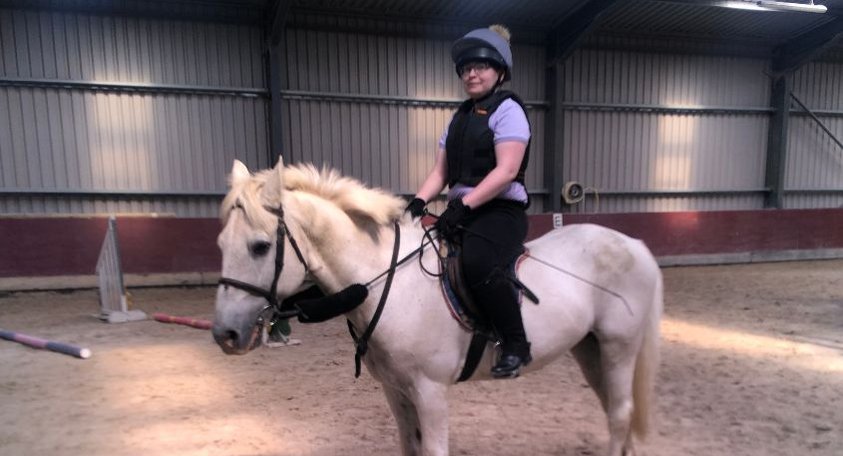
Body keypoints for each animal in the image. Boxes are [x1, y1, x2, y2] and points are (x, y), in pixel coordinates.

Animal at [214, 159, 664, 456]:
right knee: (613, 410)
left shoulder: (429, 391)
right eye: (220, 244)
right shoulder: (396, 391)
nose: (225, 335)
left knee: (620, 412)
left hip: (619, 346)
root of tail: (634, 244)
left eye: (260, 246)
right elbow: (409, 448)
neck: (388, 283)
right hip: (590, 348)